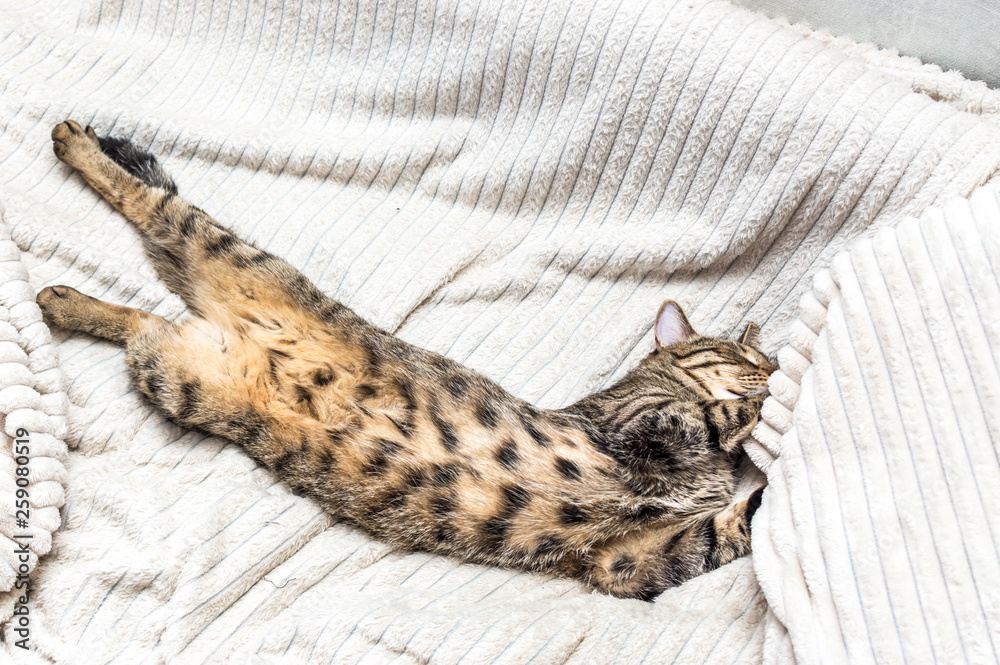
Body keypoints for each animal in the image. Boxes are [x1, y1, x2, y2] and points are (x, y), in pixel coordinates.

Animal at [37, 118, 772, 596]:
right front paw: (753, 407)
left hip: (177, 373)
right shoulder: (633, 424)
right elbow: (701, 415)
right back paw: (75, 146)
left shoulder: (630, 560)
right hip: (223, 253)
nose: (770, 368)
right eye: (743, 352)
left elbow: (728, 529)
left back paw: (64, 299)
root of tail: (225, 318)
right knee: (152, 201)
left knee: (141, 318)